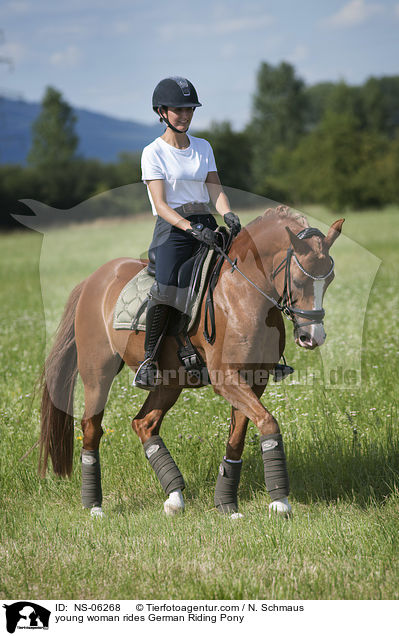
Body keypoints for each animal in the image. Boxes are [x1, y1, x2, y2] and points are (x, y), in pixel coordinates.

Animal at [39, 207, 344, 516]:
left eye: (330, 279)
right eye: (299, 281)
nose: (312, 337)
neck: (243, 293)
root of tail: (91, 280)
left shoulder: (253, 381)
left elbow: (237, 438)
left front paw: (227, 504)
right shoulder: (226, 379)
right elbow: (268, 423)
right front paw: (280, 502)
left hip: (170, 382)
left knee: (144, 424)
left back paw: (174, 497)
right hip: (97, 374)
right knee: (91, 428)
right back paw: (94, 507)